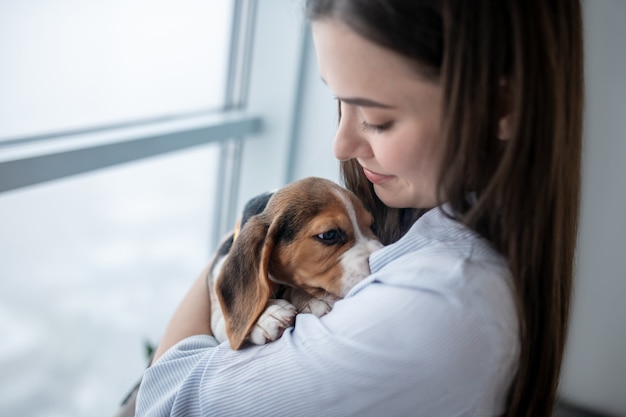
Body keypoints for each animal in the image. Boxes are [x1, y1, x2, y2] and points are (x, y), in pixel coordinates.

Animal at [206, 176, 380, 348]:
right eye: (329, 235)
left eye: (372, 226)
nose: (378, 258)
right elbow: (225, 320)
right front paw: (266, 317)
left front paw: (309, 300)